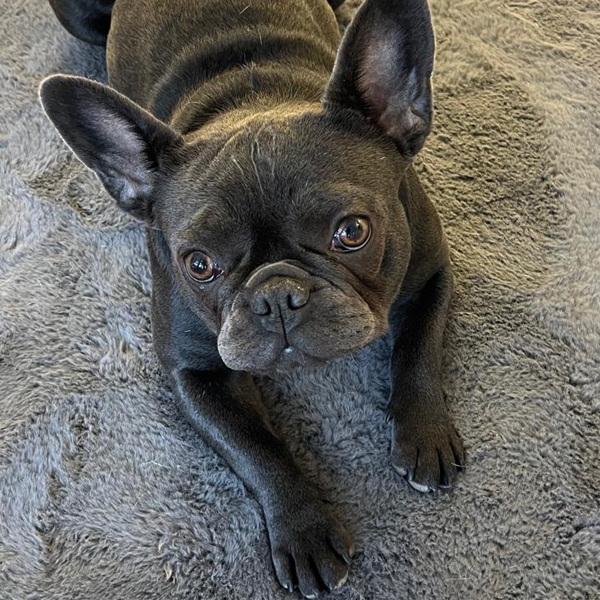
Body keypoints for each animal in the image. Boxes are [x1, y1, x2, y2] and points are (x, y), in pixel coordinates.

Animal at [40, 0, 465, 595]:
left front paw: (425, 434)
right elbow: (255, 448)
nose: (276, 295)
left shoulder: (431, 272)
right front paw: (304, 530)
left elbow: (418, 351)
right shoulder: (195, 372)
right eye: (199, 264)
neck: (248, 101)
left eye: (352, 232)